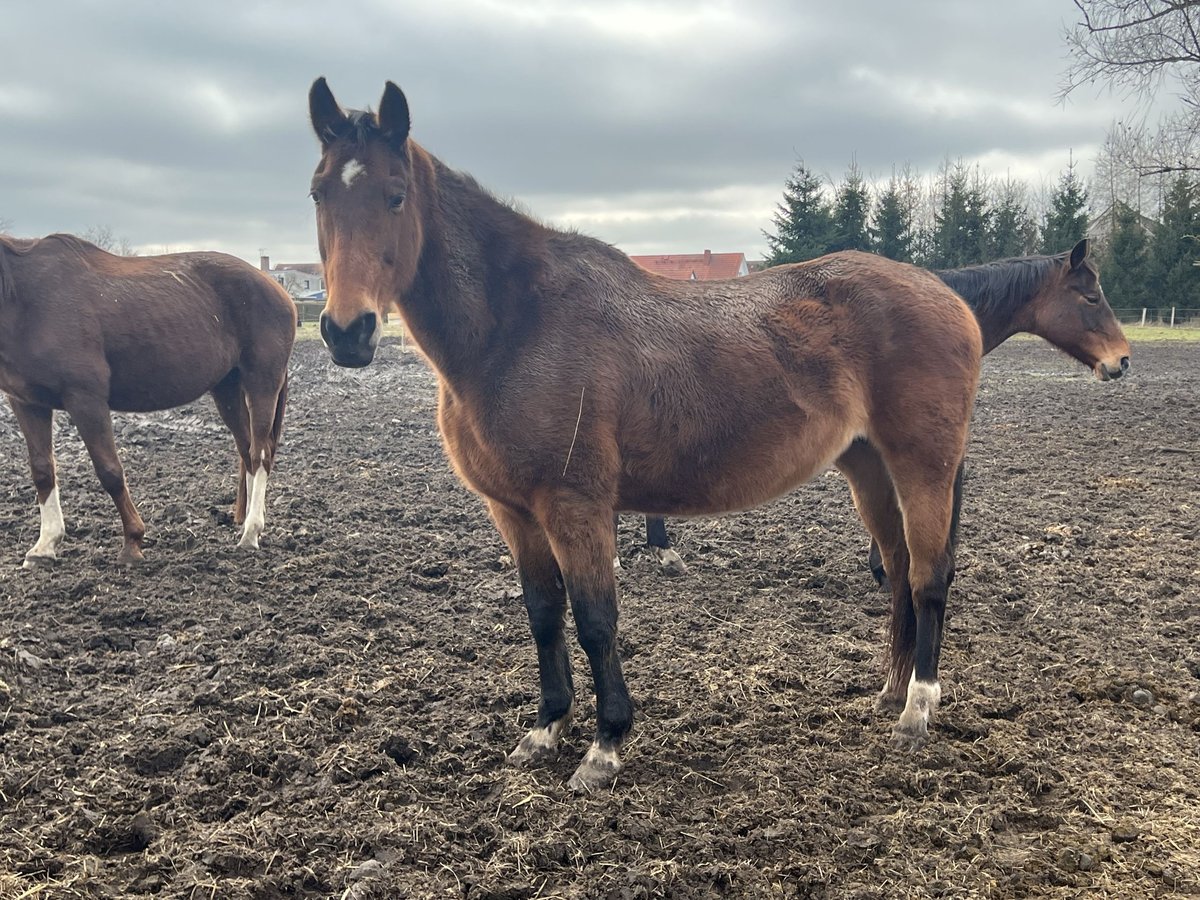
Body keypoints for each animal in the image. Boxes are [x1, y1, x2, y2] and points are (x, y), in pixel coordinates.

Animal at [1, 236, 296, 566]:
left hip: (262, 383)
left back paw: (251, 532)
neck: (25, 299)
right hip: (227, 388)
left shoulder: (85, 399)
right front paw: (44, 546)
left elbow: (110, 471)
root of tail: (277, 289)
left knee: (260, 453)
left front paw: (133, 541)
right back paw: (245, 521)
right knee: (246, 450)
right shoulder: (26, 403)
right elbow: (42, 471)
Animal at [309, 77, 993, 792]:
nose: (347, 331)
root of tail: (948, 297)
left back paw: (917, 710)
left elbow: (594, 621)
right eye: (319, 193)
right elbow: (543, 615)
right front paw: (546, 728)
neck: (518, 327)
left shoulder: (575, 506)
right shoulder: (514, 512)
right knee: (898, 570)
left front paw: (604, 745)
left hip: (923, 466)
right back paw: (890, 691)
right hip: (868, 467)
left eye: (395, 194)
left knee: (929, 574)